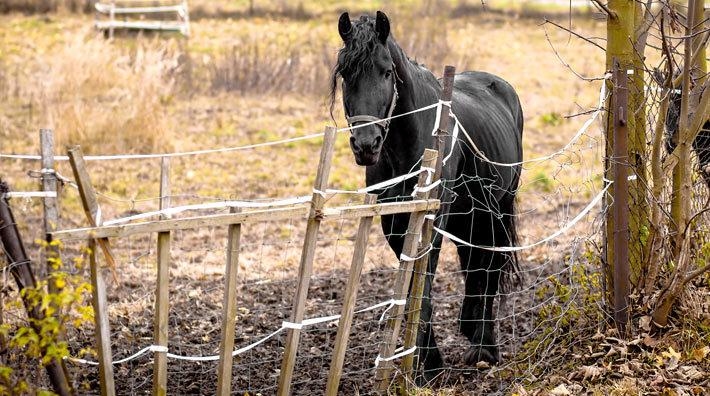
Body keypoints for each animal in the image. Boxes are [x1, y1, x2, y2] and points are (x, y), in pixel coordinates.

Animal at [330, 10, 524, 380]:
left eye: (386, 71)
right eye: (345, 73)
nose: (366, 145)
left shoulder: (429, 223)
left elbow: (425, 288)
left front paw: (427, 365)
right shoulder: (394, 224)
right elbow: (411, 288)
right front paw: (423, 359)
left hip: (498, 207)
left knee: (490, 266)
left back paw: (485, 346)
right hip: (469, 214)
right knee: (473, 263)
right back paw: (472, 328)